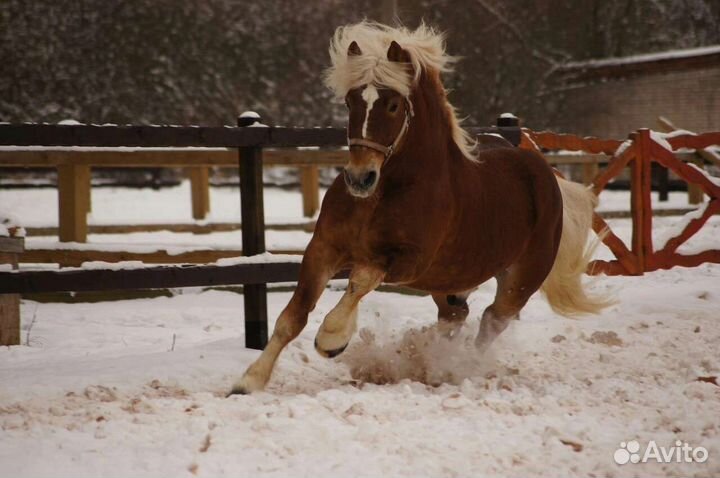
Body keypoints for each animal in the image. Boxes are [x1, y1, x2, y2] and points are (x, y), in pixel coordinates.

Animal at [230, 22, 611, 395]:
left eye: (393, 105)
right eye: (350, 102)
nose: (359, 178)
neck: (385, 192)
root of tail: (546, 176)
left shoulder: (409, 260)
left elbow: (361, 278)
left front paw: (332, 339)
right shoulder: (323, 248)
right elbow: (291, 317)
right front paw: (248, 381)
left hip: (520, 280)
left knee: (491, 320)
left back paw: (457, 367)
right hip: (451, 281)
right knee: (456, 316)